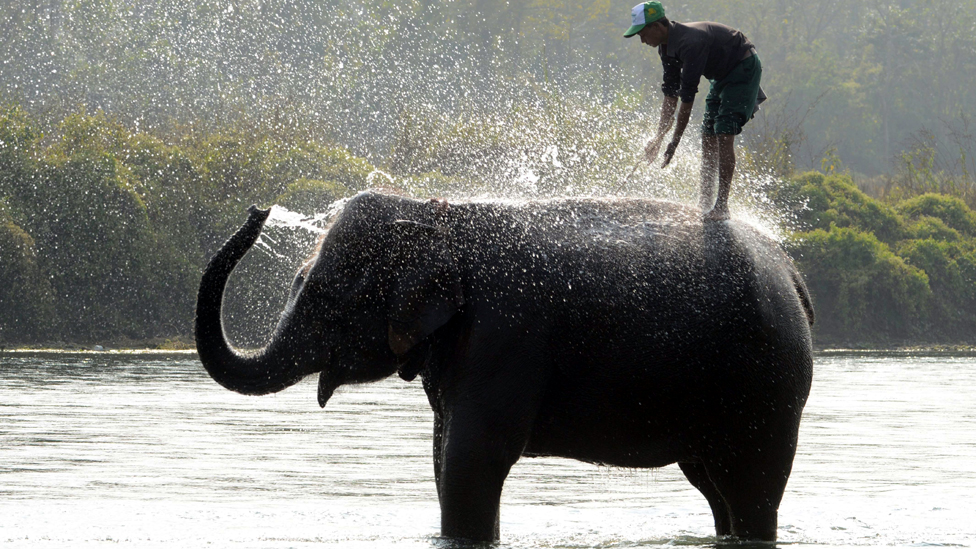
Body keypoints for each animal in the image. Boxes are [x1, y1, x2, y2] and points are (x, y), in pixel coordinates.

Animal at [196, 191, 814, 543]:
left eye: (320, 292)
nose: (258, 210)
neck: (439, 216)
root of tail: (791, 271)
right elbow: (443, 455)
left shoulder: (503, 335)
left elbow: (473, 456)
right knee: (713, 484)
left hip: (766, 383)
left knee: (749, 483)